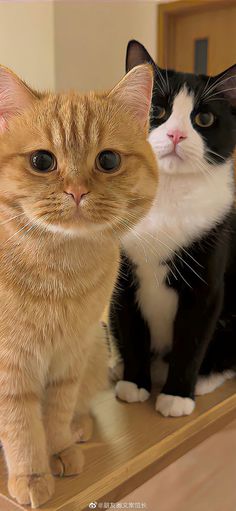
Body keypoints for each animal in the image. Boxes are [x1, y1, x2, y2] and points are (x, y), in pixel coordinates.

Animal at [0, 65, 158, 508]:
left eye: (108, 160)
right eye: (42, 161)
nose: (76, 191)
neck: (61, 270)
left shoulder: (69, 355)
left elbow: (54, 413)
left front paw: (58, 451)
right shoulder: (10, 367)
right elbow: (20, 427)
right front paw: (31, 474)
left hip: (94, 352)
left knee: (81, 404)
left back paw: (78, 428)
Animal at [109, 40, 236, 416]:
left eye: (204, 118)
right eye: (156, 109)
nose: (176, 134)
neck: (166, 193)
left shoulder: (206, 284)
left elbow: (192, 338)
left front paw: (178, 394)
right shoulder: (124, 281)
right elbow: (132, 330)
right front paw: (134, 382)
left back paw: (205, 379)